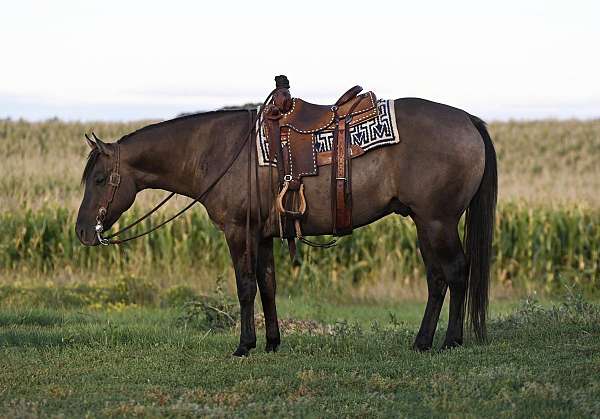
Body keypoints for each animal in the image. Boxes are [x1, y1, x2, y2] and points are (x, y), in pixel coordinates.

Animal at [75, 98, 496, 358]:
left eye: (99, 179)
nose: (81, 231)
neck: (216, 151)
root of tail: (467, 119)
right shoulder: (262, 235)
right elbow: (268, 284)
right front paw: (273, 342)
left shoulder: (238, 232)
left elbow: (246, 287)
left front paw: (244, 345)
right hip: (424, 223)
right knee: (437, 279)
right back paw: (422, 341)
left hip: (438, 221)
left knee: (456, 272)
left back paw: (451, 341)